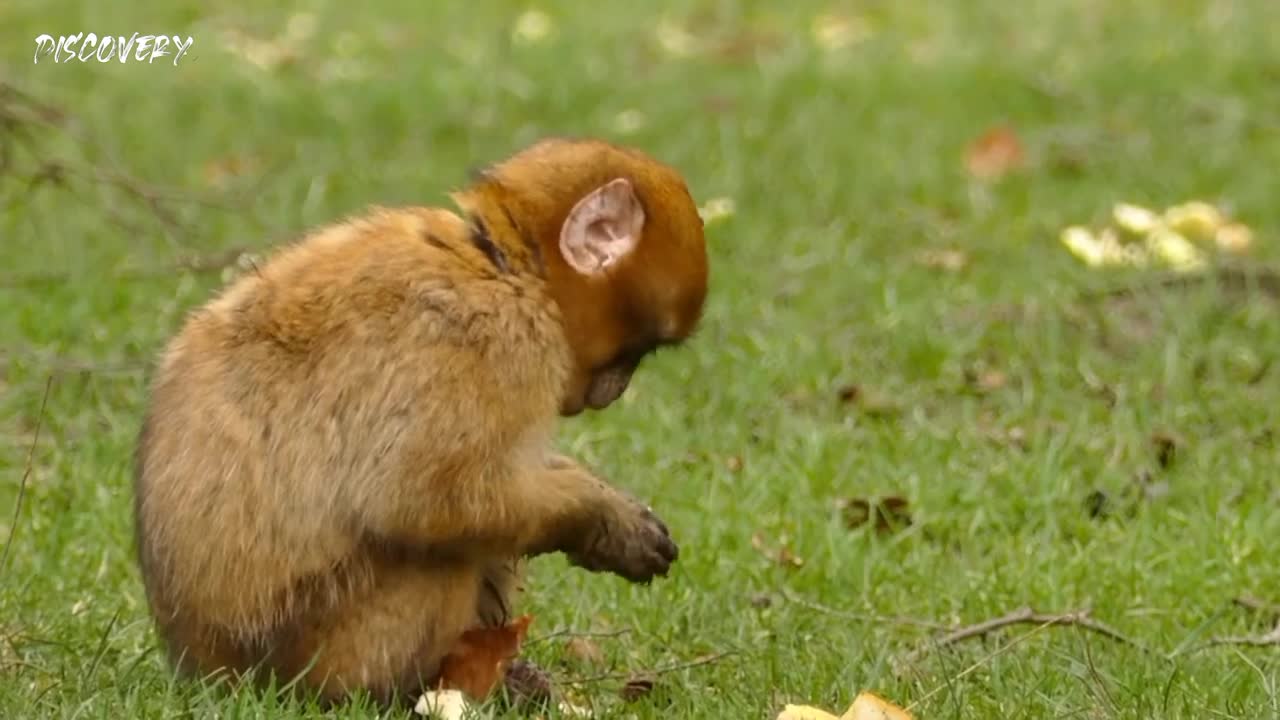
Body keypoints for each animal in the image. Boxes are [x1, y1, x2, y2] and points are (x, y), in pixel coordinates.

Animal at [131, 135, 711, 707]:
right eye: (637, 351)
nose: (615, 392)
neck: (502, 265)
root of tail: (206, 667)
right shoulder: (488, 340)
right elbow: (422, 500)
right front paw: (598, 518)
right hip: (323, 646)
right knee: (445, 552)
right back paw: (408, 689)